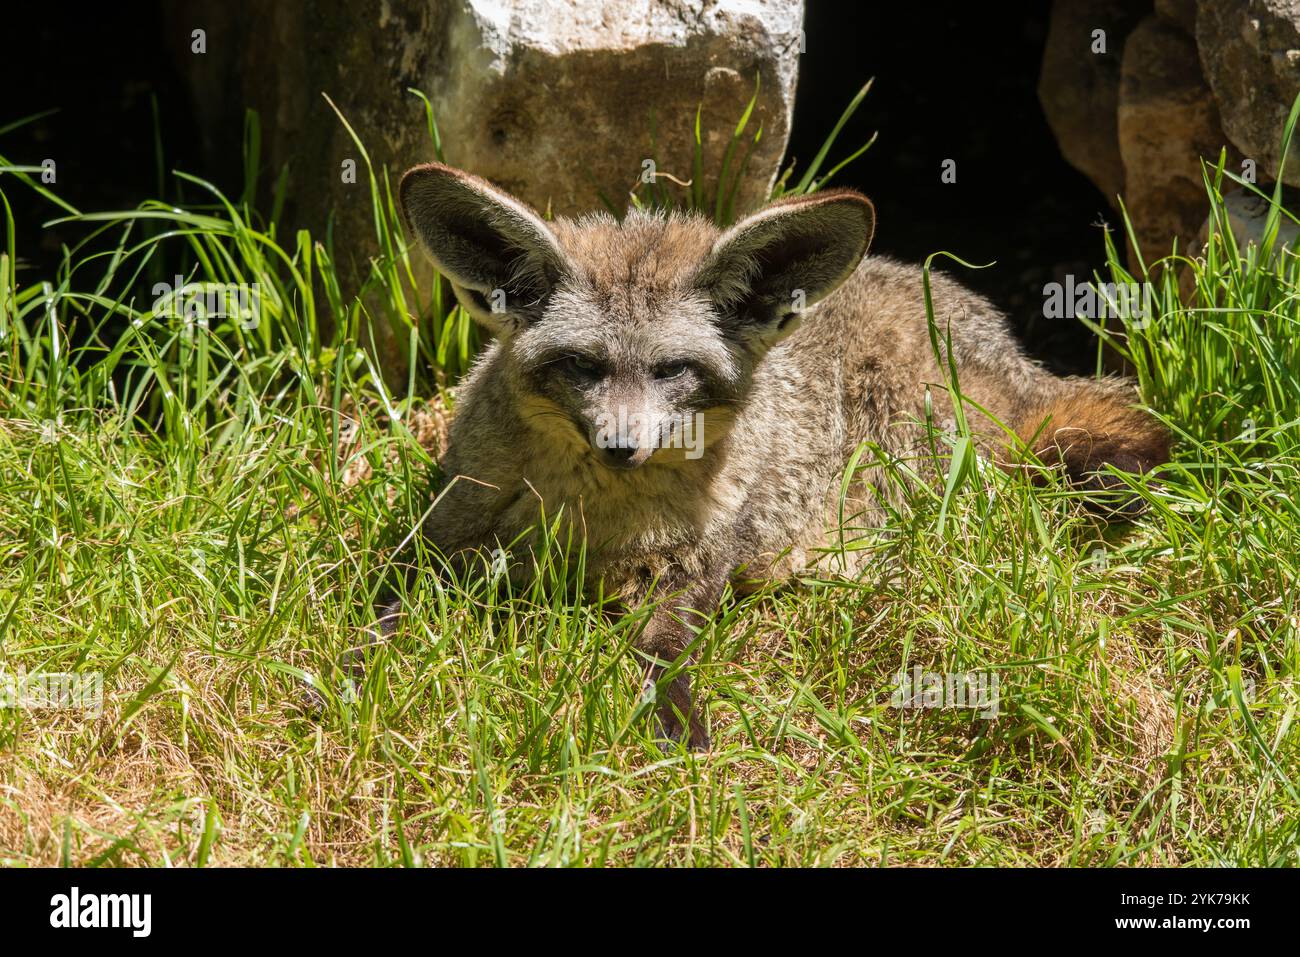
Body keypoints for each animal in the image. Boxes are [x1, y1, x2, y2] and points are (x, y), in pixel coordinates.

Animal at [390, 161, 1169, 749]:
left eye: (673, 370)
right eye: (583, 365)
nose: (621, 446)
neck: (593, 529)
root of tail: (1008, 351)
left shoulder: (691, 575)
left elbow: (664, 658)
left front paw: (677, 728)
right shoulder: (438, 540)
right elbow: (386, 615)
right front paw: (362, 669)